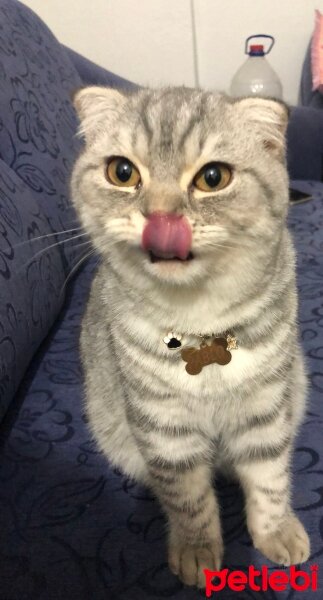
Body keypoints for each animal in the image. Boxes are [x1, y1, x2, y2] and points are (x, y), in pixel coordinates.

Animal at [71, 86, 312, 588]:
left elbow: (269, 477)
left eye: (213, 177)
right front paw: (198, 551)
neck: (201, 324)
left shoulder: (266, 407)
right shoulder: (165, 426)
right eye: (122, 172)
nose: (160, 217)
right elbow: (188, 498)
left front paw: (276, 531)